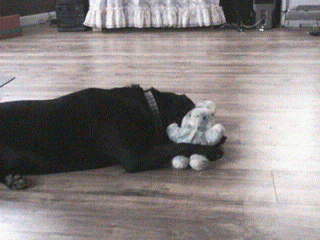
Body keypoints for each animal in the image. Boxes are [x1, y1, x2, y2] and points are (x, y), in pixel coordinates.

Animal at [0, 86, 225, 189]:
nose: (224, 137)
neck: (147, 107)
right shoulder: (133, 158)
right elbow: (175, 146)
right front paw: (211, 150)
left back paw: (12, 179)